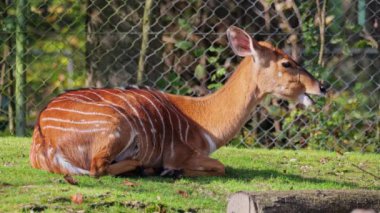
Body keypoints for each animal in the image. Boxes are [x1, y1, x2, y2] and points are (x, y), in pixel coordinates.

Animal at [30, 26, 326, 176]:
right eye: (287, 63)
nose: (322, 86)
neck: (203, 119)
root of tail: (45, 140)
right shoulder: (180, 154)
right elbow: (220, 167)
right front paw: (170, 171)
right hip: (117, 126)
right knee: (97, 168)